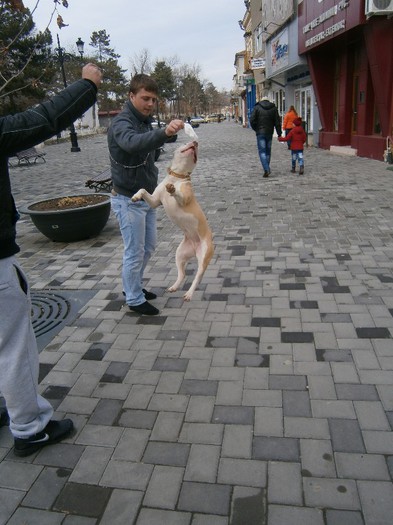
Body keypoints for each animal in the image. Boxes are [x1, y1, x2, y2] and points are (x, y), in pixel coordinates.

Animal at [131, 139, 211, 300]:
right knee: (182, 274)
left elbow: (178, 195)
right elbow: (143, 190)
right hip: (180, 255)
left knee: (197, 277)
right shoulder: (155, 201)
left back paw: (189, 293)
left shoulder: (184, 199)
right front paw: (136, 196)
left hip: (204, 257)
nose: (195, 142)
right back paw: (174, 287)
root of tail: (195, 247)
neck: (177, 176)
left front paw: (173, 189)